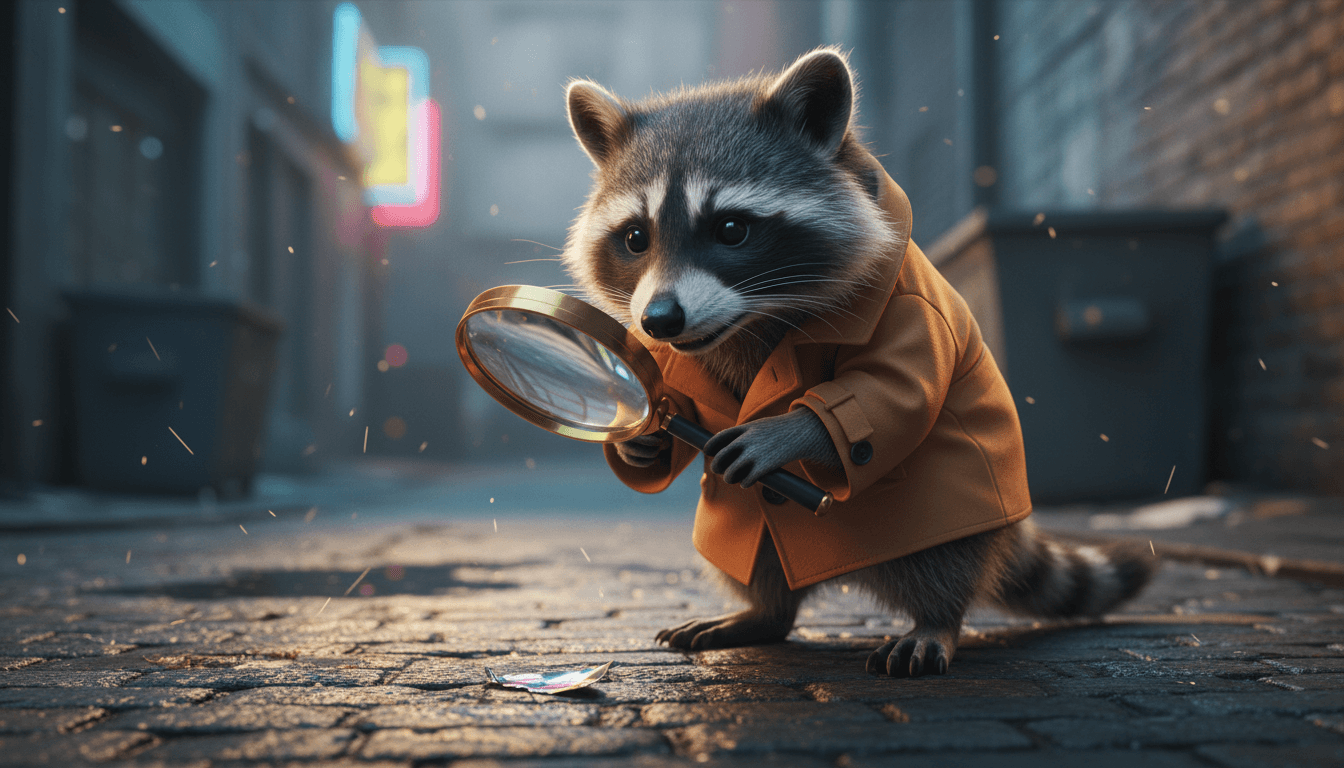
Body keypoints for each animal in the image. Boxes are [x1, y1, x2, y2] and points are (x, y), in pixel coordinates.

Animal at [561, 48, 1154, 677]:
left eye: (731, 229)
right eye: (635, 238)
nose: (660, 321)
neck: (749, 319)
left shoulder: (903, 308)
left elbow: (895, 385)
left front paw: (790, 430)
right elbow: (682, 410)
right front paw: (644, 439)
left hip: (949, 513)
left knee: (945, 561)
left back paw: (936, 619)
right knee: (759, 561)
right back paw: (764, 610)